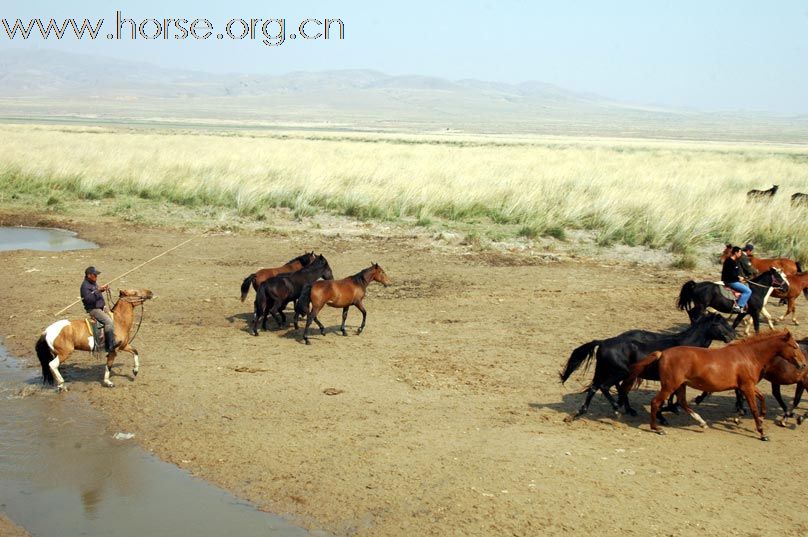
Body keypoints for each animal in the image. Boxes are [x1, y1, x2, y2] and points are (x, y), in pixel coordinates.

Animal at [560, 312, 736, 420]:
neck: (687, 345)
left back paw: (579, 413)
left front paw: (666, 412)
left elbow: (673, 398)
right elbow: (672, 398)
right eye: (719, 324)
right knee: (605, 387)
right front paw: (663, 414)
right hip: (620, 372)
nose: (733, 336)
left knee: (594, 388)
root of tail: (603, 342)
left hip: (603, 371)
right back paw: (617, 409)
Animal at [620, 330, 804, 440]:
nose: (803, 365)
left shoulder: (747, 386)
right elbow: (753, 407)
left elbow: (762, 401)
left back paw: (702, 423)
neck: (749, 356)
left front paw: (761, 417)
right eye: (794, 346)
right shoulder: (746, 386)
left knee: (682, 403)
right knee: (656, 402)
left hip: (681, 385)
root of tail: (662, 353)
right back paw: (657, 428)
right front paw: (762, 432)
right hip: (670, 385)